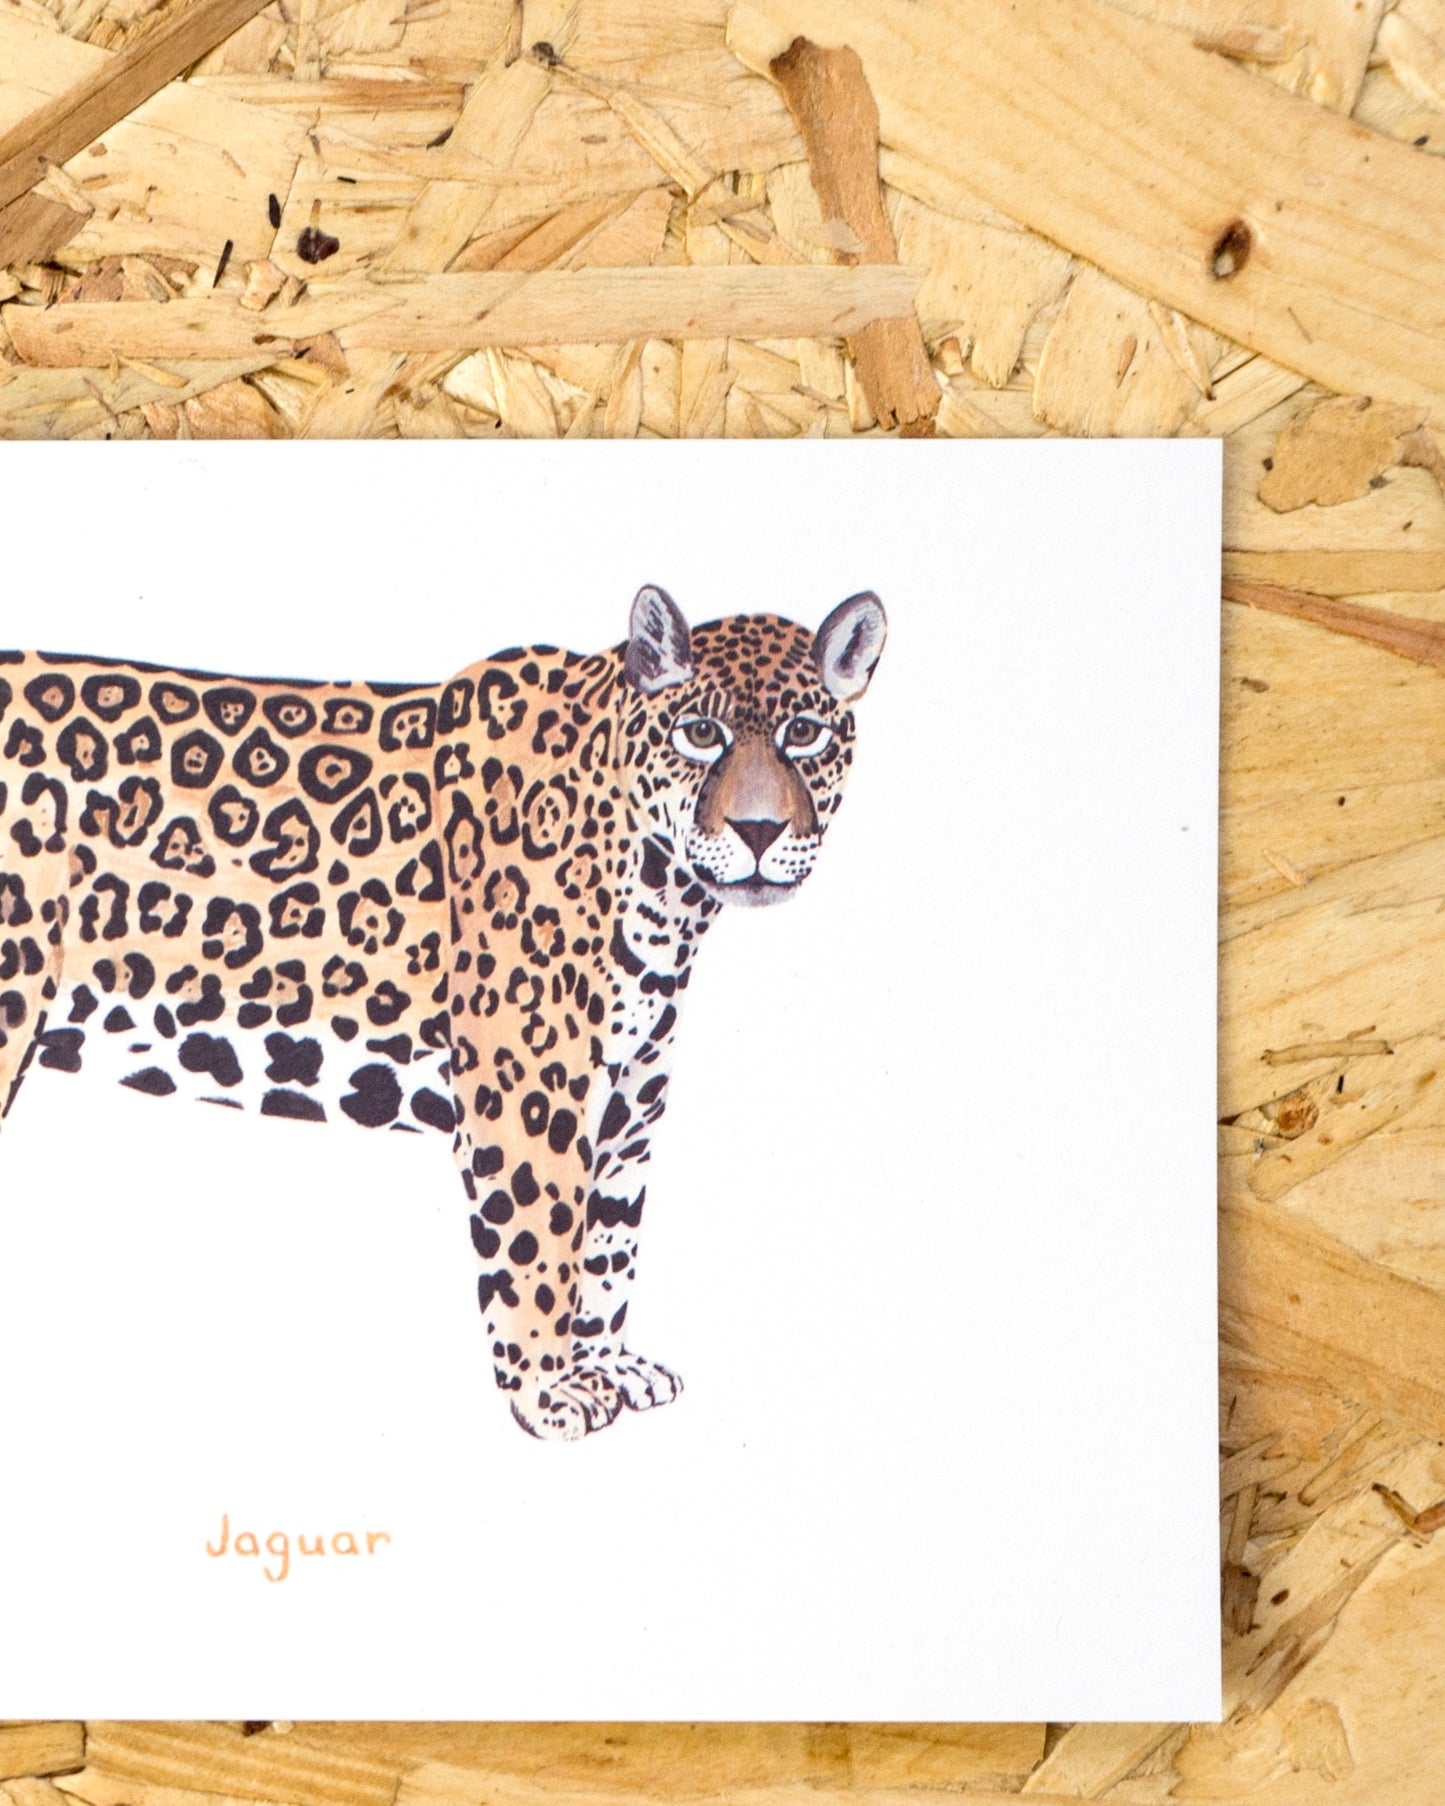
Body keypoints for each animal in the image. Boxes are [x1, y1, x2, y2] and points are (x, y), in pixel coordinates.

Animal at [0, 585, 887, 1440]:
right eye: (699, 734)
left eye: (804, 733)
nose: (759, 830)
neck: (667, 901)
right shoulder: (530, 1097)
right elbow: (541, 1249)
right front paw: (548, 1395)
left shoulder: (630, 1109)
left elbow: (610, 1246)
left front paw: (608, 1369)